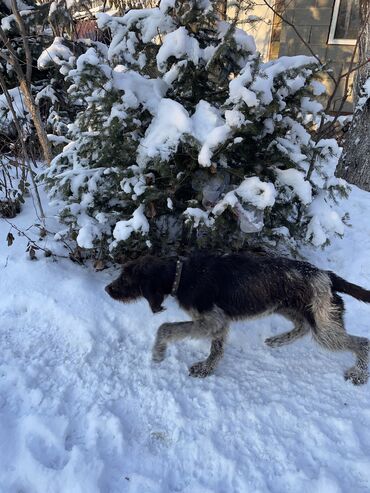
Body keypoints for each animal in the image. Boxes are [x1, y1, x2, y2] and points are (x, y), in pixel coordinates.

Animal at [104, 254, 370, 384]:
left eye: (126, 278)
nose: (107, 289)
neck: (183, 274)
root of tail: (327, 275)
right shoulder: (218, 323)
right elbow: (217, 349)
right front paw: (207, 369)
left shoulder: (212, 320)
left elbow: (165, 327)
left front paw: (159, 353)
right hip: (288, 308)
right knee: (303, 326)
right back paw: (277, 341)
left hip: (323, 327)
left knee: (363, 343)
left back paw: (359, 374)